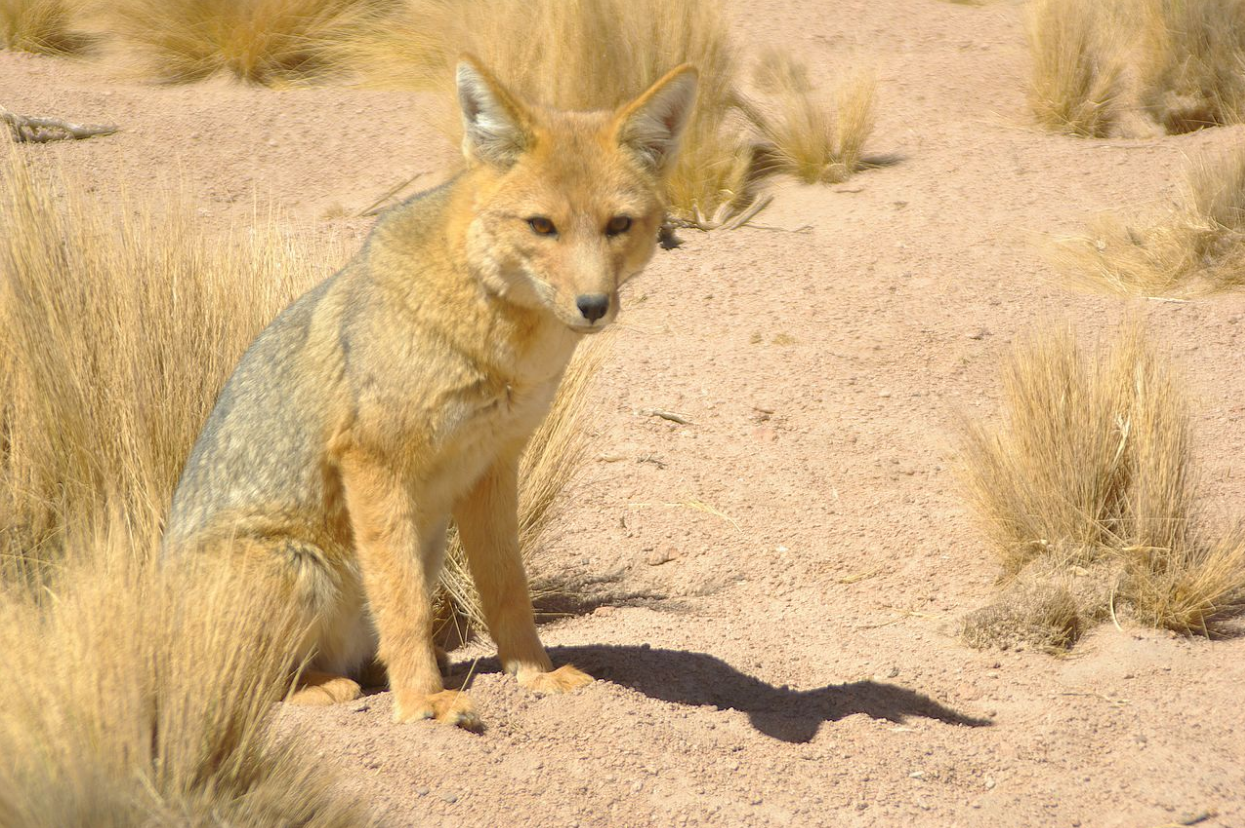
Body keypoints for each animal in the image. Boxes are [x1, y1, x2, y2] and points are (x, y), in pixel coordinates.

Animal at [160, 59, 697, 732]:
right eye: (542, 226)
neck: (495, 347)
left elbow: (509, 589)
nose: (593, 306)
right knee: (239, 688)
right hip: (296, 566)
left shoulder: (493, 466)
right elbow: (404, 602)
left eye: (619, 225)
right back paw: (326, 687)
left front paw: (535, 675)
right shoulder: (374, 462)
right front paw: (420, 702)